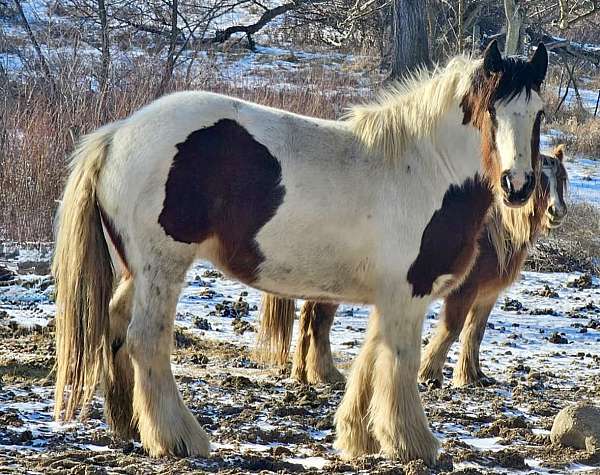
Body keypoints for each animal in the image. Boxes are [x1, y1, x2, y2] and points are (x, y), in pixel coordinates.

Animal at [256, 147, 568, 388]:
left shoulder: (487, 295)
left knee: (309, 319)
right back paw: (326, 374)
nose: (557, 212)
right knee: (319, 320)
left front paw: (473, 376)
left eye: (562, 179)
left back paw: (303, 374)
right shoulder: (464, 291)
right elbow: (452, 329)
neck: (494, 233)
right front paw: (430, 375)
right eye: (541, 181)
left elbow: (474, 333)